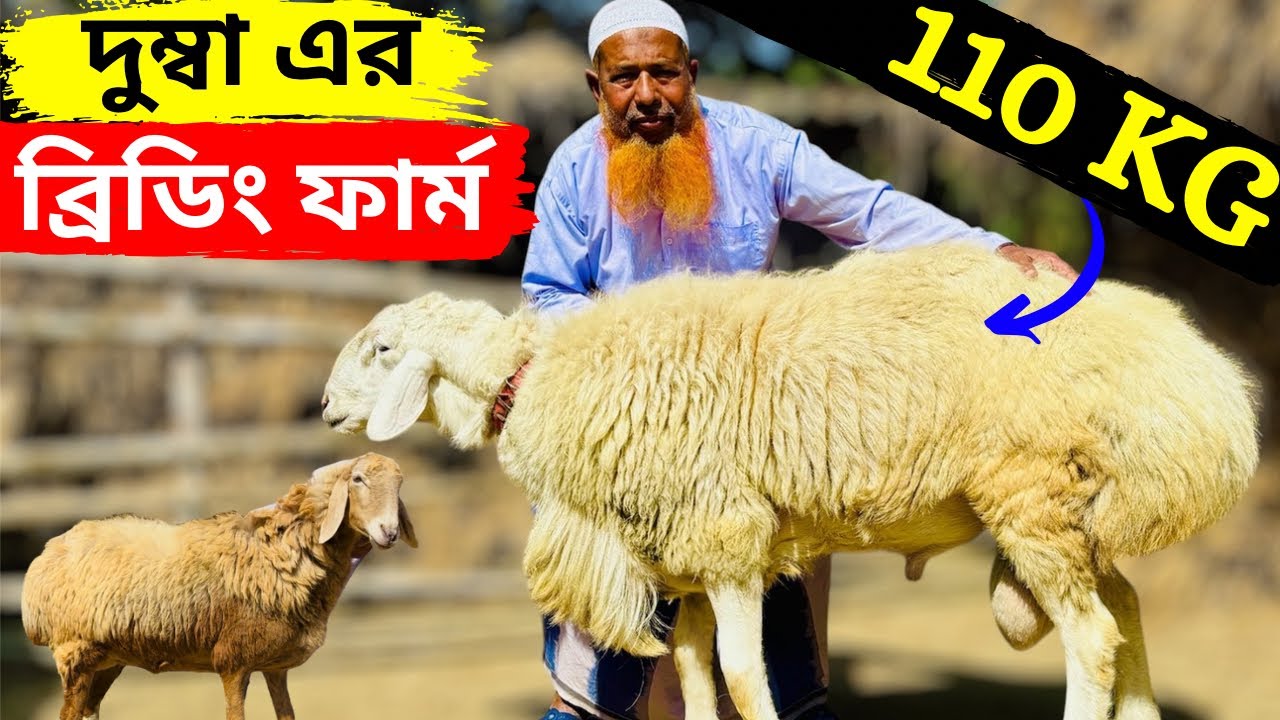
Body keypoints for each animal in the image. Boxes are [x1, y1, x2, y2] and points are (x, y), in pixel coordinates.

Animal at [21, 452, 418, 720]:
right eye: (358, 480)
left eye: (400, 485)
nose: (389, 531)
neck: (281, 549)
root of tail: (47, 555)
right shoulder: (233, 660)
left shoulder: (275, 666)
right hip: (75, 653)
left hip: (106, 660)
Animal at [318, 240, 1262, 720]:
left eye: (383, 349)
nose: (324, 406)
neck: (538, 378)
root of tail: (1196, 378)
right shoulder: (689, 553)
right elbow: (696, 672)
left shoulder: (728, 535)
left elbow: (743, 672)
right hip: (1076, 510)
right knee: (1127, 611)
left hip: (1029, 495)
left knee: (1093, 639)